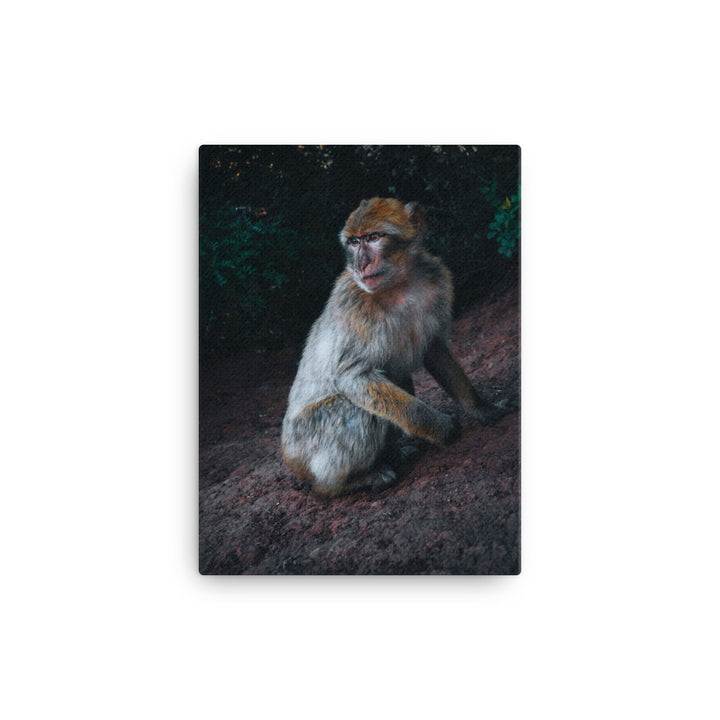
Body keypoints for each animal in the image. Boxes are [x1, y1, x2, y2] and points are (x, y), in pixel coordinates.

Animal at [281, 198, 514, 497]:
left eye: (373, 237)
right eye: (354, 242)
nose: (361, 264)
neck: (399, 284)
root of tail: (291, 460)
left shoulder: (437, 280)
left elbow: (435, 349)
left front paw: (483, 408)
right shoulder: (354, 304)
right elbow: (353, 378)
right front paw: (442, 428)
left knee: (396, 376)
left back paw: (392, 453)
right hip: (308, 445)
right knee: (355, 410)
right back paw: (350, 482)